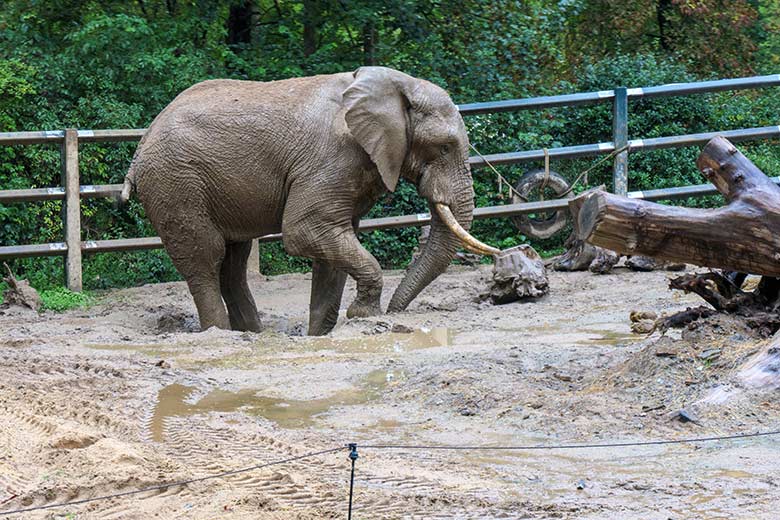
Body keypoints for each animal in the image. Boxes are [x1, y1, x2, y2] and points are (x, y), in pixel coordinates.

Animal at [123, 65, 500, 336]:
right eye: (445, 147)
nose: (396, 313)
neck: (397, 85)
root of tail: (142, 144)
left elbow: (333, 247)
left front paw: (320, 333)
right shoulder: (332, 159)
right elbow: (305, 231)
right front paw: (364, 315)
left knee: (233, 259)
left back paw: (252, 334)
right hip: (176, 182)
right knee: (206, 255)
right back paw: (219, 333)